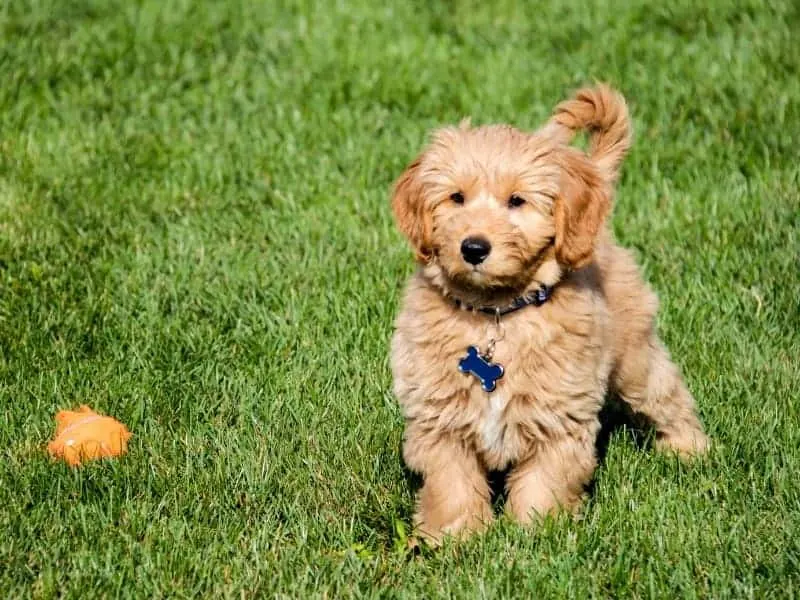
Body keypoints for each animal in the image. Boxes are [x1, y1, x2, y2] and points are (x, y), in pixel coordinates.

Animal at [390, 83, 708, 544]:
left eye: (517, 201)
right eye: (456, 198)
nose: (474, 247)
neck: (496, 315)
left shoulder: (558, 416)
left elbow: (545, 482)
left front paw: (539, 537)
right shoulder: (440, 419)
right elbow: (452, 484)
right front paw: (453, 539)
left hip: (634, 357)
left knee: (667, 392)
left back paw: (688, 449)